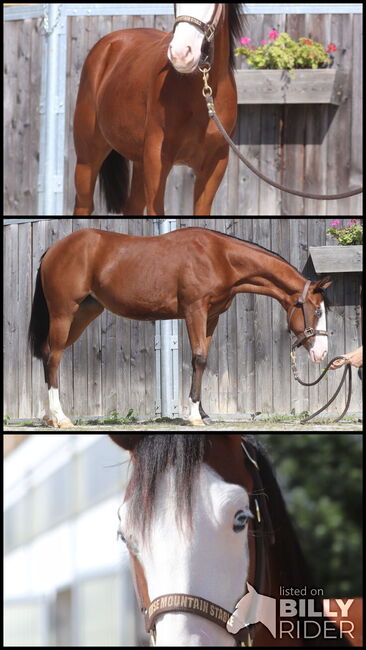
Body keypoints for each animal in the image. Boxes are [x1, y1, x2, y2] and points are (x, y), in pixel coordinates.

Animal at [28, 225, 332, 428]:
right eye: (317, 311)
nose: (322, 354)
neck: (219, 257)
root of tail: (53, 250)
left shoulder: (211, 317)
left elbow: (203, 360)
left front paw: (204, 413)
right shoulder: (195, 311)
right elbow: (199, 358)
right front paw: (195, 416)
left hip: (85, 312)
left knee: (48, 354)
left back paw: (48, 417)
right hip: (64, 313)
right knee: (54, 357)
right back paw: (61, 418)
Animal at [72, 3, 242, 215]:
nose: (181, 54)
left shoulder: (215, 166)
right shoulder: (156, 161)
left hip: (139, 163)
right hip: (87, 159)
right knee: (84, 204)